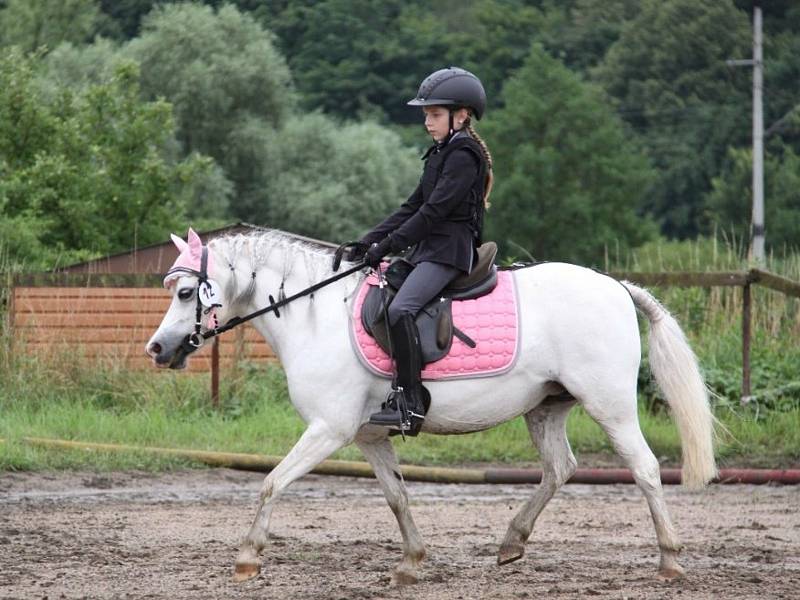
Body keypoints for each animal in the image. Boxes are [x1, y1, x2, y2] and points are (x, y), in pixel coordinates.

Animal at [147, 229, 716, 584]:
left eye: (184, 293)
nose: (157, 349)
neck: (315, 314)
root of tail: (616, 286)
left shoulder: (329, 429)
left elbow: (271, 483)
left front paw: (247, 558)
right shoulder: (369, 435)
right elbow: (397, 497)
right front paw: (410, 563)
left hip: (609, 404)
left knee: (644, 469)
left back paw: (670, 560)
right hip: (546, 406)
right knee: (560, 467)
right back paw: (511, 542)